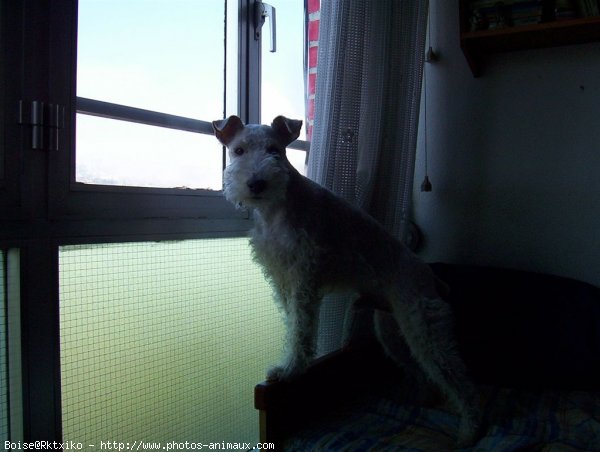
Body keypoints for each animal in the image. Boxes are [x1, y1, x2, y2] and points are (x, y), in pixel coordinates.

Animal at [213, 115, 480, 444]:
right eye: (238, 150)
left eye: (275, 150)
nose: (256, 184)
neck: (276, 207)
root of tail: (431, 277)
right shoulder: (283, 280)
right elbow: (292, 325)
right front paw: (286, 365)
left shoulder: (304, 281)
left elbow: (301, 331)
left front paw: (290, 370)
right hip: (393, 332)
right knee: (422, 373)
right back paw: (420, 400)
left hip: (426, 329)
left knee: (463, 384)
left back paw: (469, 431)